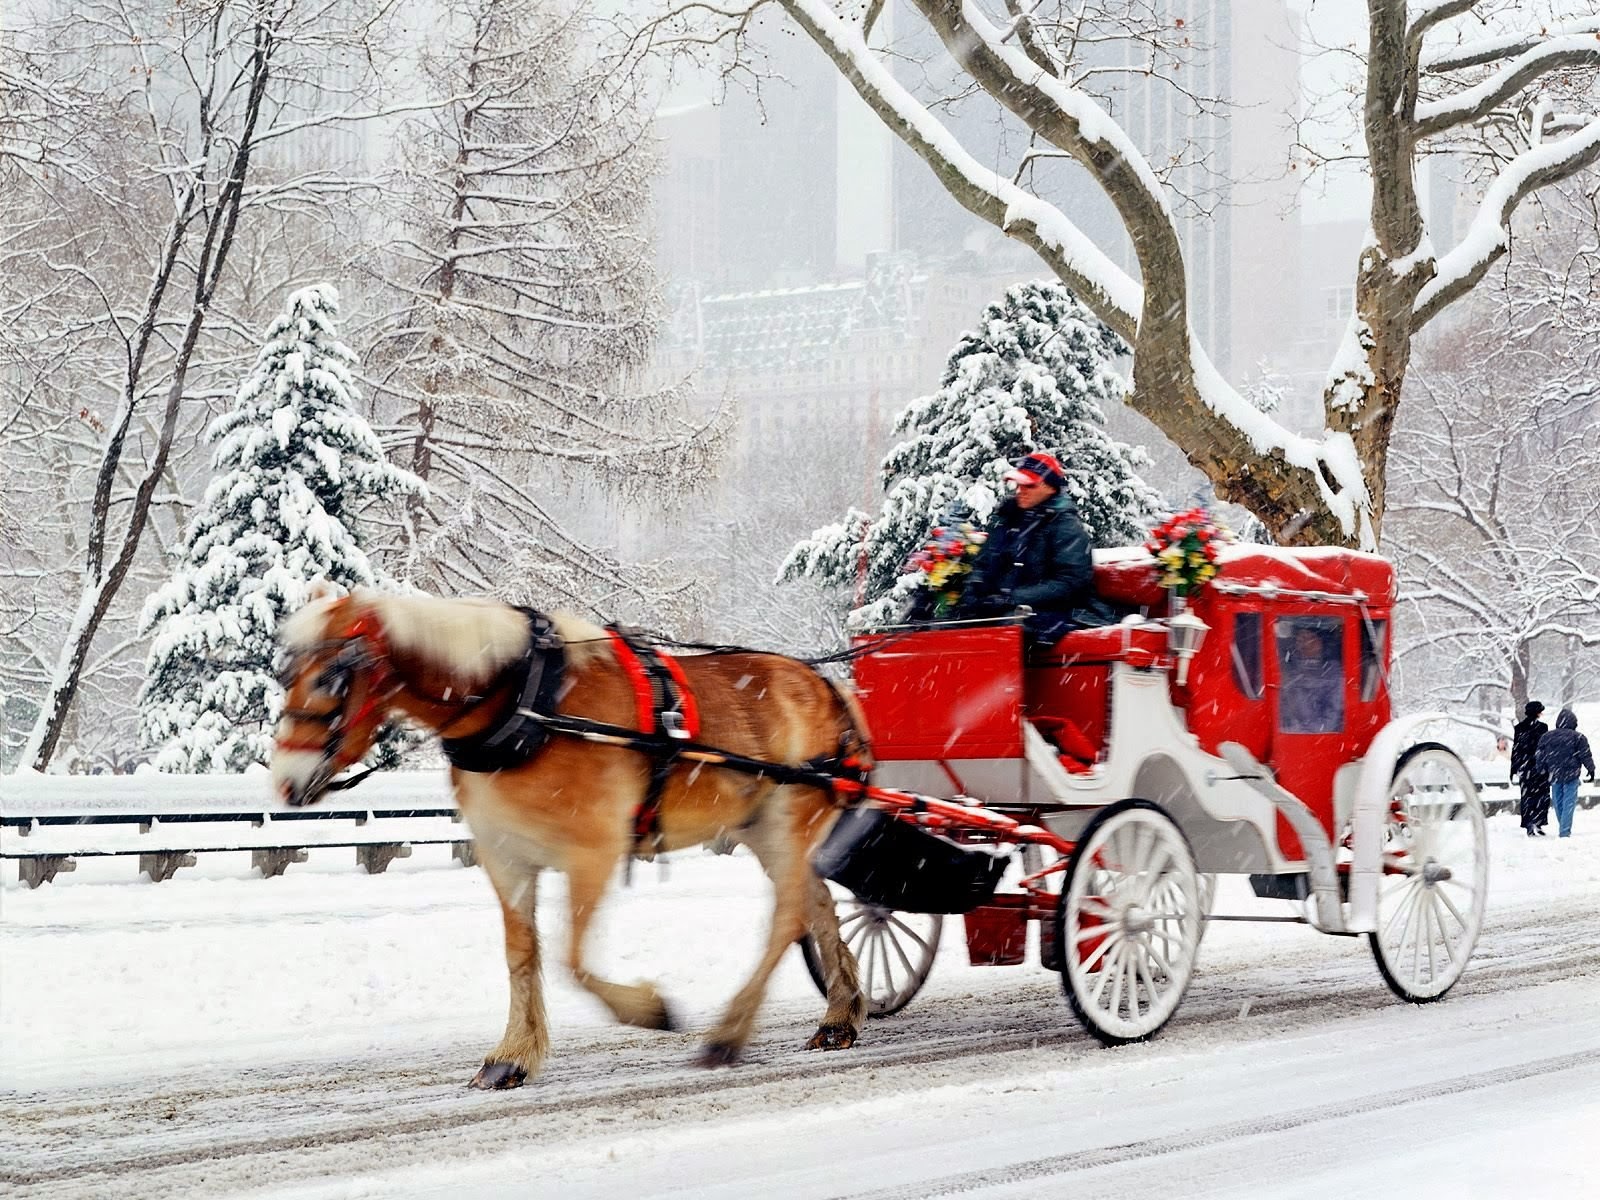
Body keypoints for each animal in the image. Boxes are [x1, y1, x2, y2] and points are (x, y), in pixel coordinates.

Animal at [270, 588, 870, 1094]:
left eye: (329, 680)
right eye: (284, 675)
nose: (285, 783)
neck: (522, 703)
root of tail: (828, 689)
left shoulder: (594, 853)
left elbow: (571, 957)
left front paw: (648, 1009)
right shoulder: (506, 856)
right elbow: (522, 954)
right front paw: (511, 1056)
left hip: (789, 820)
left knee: (787, 916)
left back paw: (730, 1032)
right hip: (762, 829)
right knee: (815, 906)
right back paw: (839, 1016)